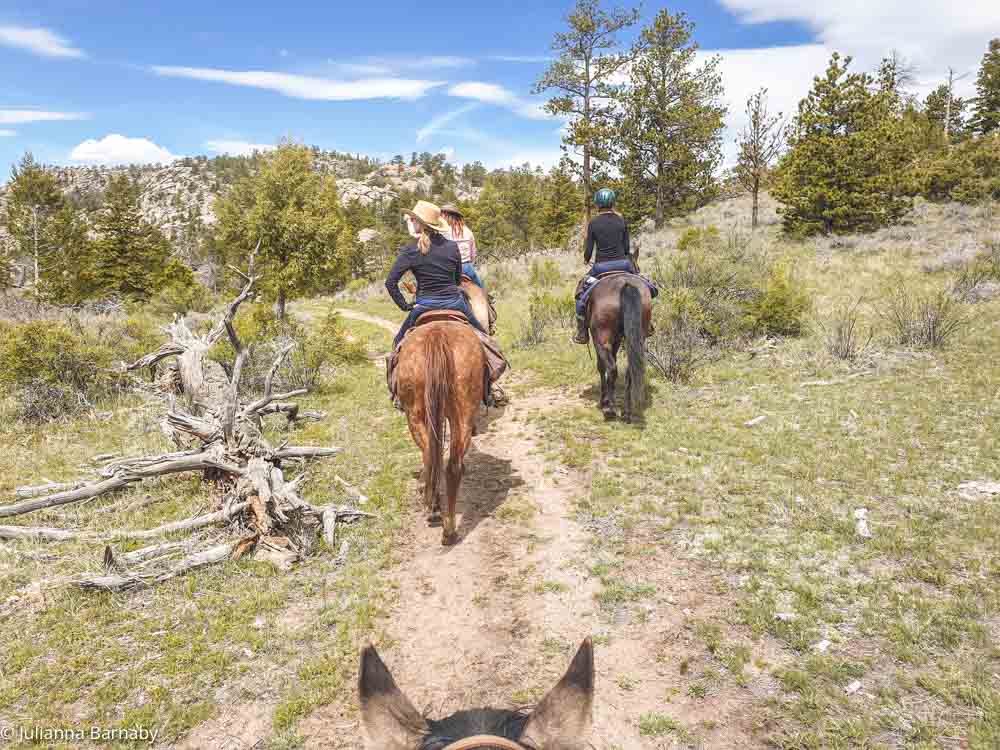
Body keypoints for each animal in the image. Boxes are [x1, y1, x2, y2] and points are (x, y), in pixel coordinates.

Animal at [394, 318, 484, 548]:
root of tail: (437, 334)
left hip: (415, 415)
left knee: (430, 456)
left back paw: (435, 511)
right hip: (461, 414)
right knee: (450, 465)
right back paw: (447, 528)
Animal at [584, 276, 652, 426]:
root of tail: (626, 285)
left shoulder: (601, 341)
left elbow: (601, 367)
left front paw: (604, 400)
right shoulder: (616, 340)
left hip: (602, 338)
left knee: (611, 368)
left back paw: (610, 410)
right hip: (637, 336)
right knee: (629, 371)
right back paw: (626, 412)